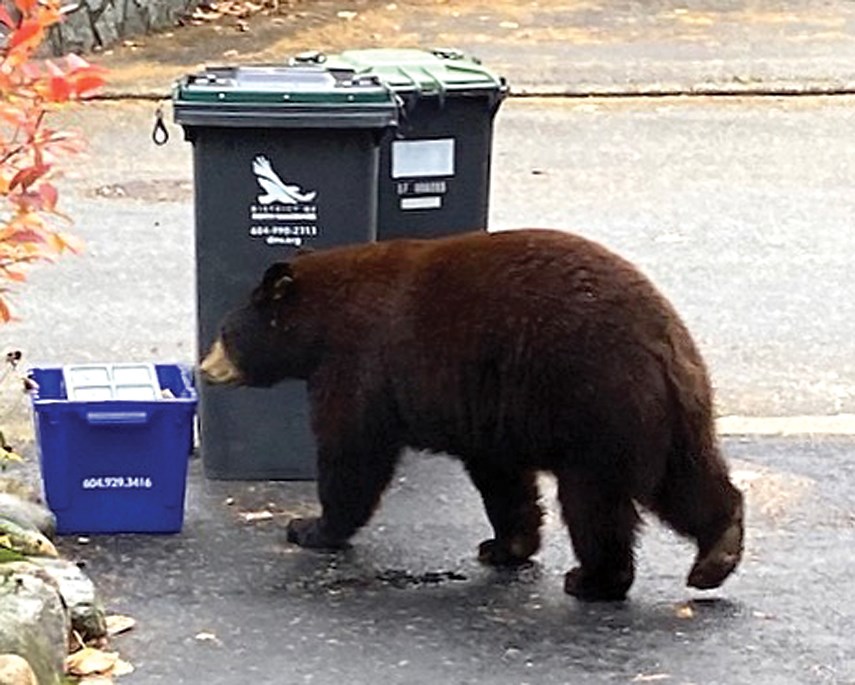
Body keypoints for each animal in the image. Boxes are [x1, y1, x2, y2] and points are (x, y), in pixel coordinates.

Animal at [201, 228, 744, 600]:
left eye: (224, 333)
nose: (205, 368)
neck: (321, 321)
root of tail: (662, 341)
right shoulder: (486, 411)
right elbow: (502, 477)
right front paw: (506, 545)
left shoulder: (356, 363)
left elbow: (352, 450)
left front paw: (310, 527)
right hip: (671, 415)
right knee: (686, 481)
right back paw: (718, 550)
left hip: (597, 407)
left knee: (595, 502)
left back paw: (594, 579)